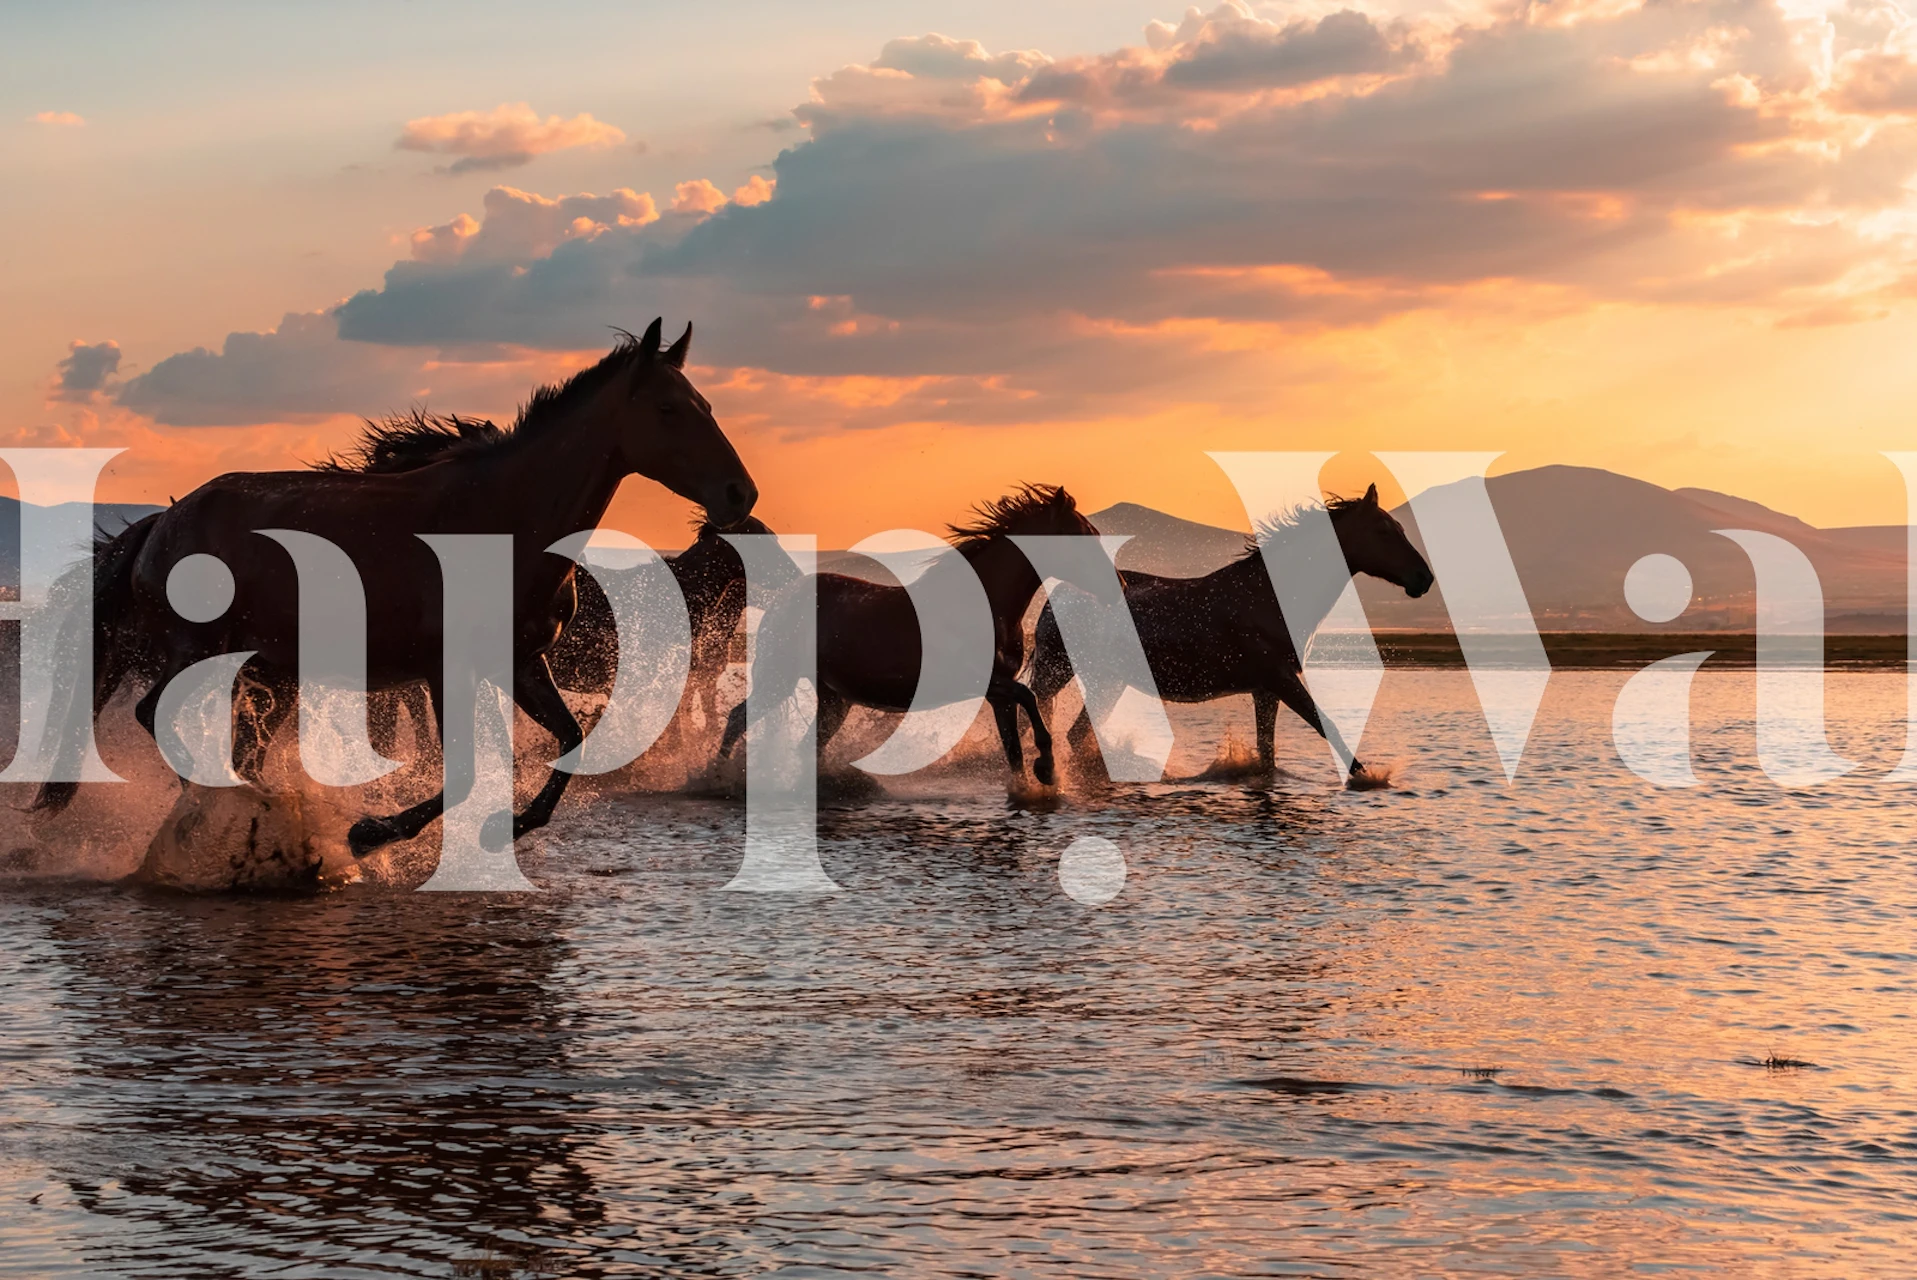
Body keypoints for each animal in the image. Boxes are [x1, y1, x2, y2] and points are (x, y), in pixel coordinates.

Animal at [32, 319, 758, 858]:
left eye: (707, 405)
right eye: (668, 408)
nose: (739, 493)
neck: (502, 517)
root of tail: (163, 522)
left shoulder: (523, 662)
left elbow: (570, 741)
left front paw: (507, 826)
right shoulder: (444, 669)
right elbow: (463, 769)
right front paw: (371, 831)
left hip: (260, 667)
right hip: (200, 652)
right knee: (154, 714)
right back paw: (239, 807)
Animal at [714, 483, 1101, 787]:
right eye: (1083, 535)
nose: (1113, 583)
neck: (985, 603)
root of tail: (782, 601)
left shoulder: (997, 695)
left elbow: (1014, 751)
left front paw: (1034, 780)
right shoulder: (983, 683)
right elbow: (1029, 697)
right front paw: (1047, 767)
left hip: (834, 699)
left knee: (806, 745)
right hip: (778, 677)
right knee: (736, 719)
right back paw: (714, 777)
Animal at [1029, 484, 1434, 779]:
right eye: (1384, 531)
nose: (1424, 578)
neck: (1269, 596)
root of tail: (1055, 596)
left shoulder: (1266, 689)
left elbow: (1267, 753)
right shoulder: (1280, 678)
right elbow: (1327, 727)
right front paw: (1369, 778)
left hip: (1109, 680)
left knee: (1076, 734)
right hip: (1063, 673)